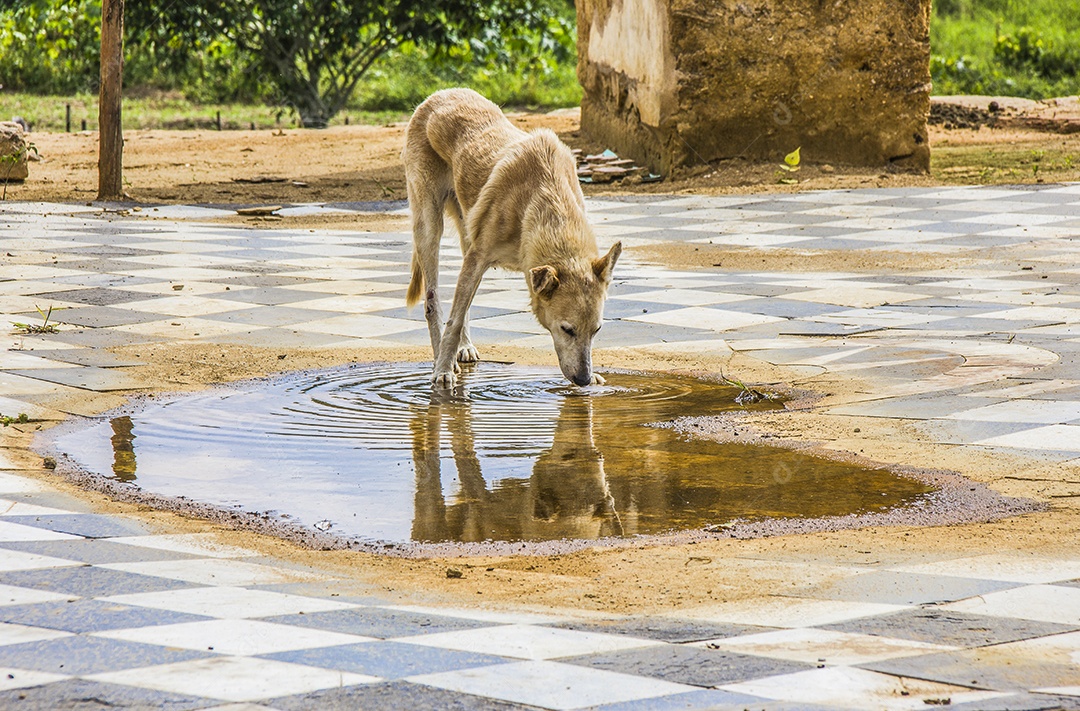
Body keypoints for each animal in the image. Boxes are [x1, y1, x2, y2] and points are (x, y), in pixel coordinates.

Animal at [401, 90, 622, 386]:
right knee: (432, 302)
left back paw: (464, 347)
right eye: (567, 329)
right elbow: (454, 320)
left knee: (461, 304)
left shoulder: (475, 258)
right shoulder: (478, 257)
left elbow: (461, 310)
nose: (584, 379)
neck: (544, 198)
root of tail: (438, 96)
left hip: (466, 229)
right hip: (429, 226)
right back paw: (442, 358)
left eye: (597, 330)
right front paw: (443, 370)